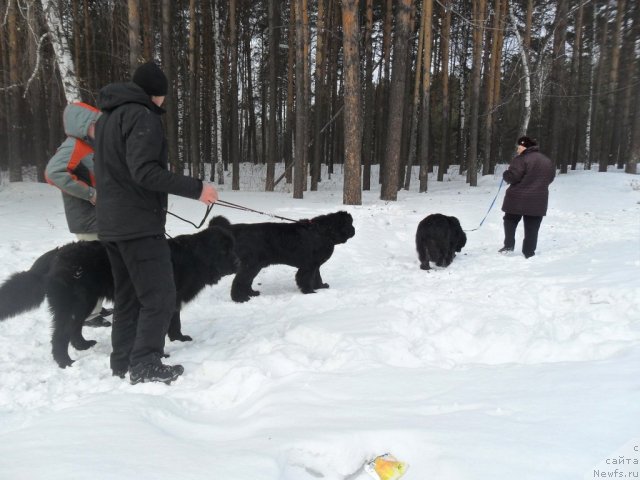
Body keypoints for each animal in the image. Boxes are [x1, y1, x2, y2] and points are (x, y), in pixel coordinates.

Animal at [0, 227, 238, 370]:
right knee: (60, 334)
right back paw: (65, 362)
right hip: (76, 303)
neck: (194, 258)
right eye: (224, 250)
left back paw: (83, 345)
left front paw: (179, 338)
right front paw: (161, 353)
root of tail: (56, 255)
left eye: (232, 248)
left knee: (74, 328)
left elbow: (174, 322)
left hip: (85, 302)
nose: (238, 263)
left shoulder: (172, 299)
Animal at [212, 211, 358, 302]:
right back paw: (240, 299)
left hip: (254, 266)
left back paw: (251, 293)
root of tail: (234, 230)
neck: (324, 232)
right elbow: (305, 279)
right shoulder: (308, 266)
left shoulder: (315, 265)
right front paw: (309, 292)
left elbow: (317, 276)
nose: (354, 230)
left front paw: (320, 286)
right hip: (251, 264)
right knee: (239, 281)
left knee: (246, 281)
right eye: (349, 224)